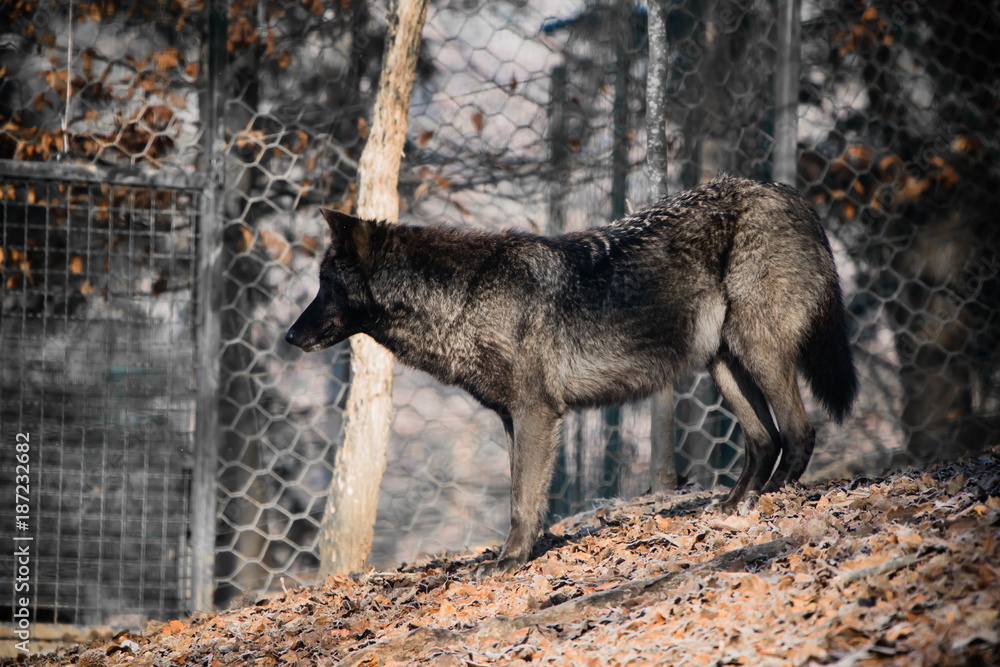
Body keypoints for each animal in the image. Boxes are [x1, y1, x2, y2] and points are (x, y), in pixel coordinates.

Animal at [285, 175, 858, 577]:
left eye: (324, 285)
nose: (289, 336)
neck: (464, 298)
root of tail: (790, 193)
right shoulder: (514, 419)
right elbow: (530, 496)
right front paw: (527, 553)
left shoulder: (535, 412)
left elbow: (520, 499)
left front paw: (509, 562)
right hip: (722, 365)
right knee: (764, 439)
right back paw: (733, 505)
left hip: (757, 352)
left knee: (799, 432)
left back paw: (771, 501)